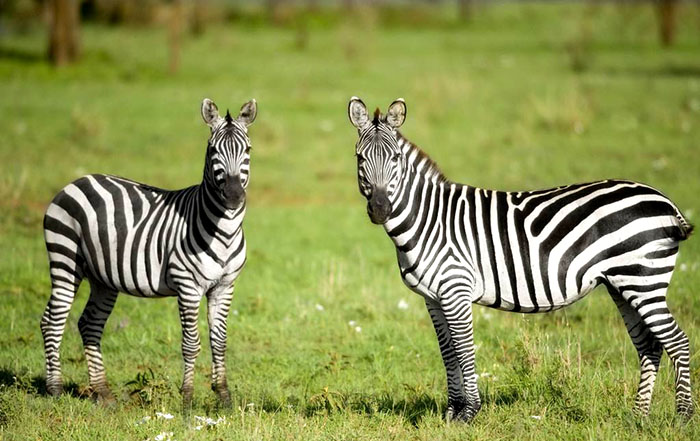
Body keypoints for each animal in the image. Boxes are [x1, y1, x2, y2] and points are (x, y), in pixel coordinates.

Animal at [40, 98, 258, 408]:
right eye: (212, 150)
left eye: (248, 149)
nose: (233, 196)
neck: (223, 230)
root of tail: (78, 180)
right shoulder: (188, 286)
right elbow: (191, 343)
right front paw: (187, 399)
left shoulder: (225, 286)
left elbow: (219, 341)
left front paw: (224, 398)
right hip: (65, 259)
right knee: (52, 322)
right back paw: (55, 390)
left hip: (103, 277)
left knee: (89, 325)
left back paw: (103, 393)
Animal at [348, 97, 696, 422]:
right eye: (360, 157)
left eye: (395, 158)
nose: (380, 209)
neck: (428, 220)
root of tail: (665, 201)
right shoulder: (432, 298)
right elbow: (448, 352)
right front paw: (451, 413)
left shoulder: (456, 290)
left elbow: (464, 349)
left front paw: (468, 412)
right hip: (623, 284)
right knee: (649, 345)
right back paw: (638, 416)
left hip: (643, 280)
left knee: (677, 341)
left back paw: (683, 416)